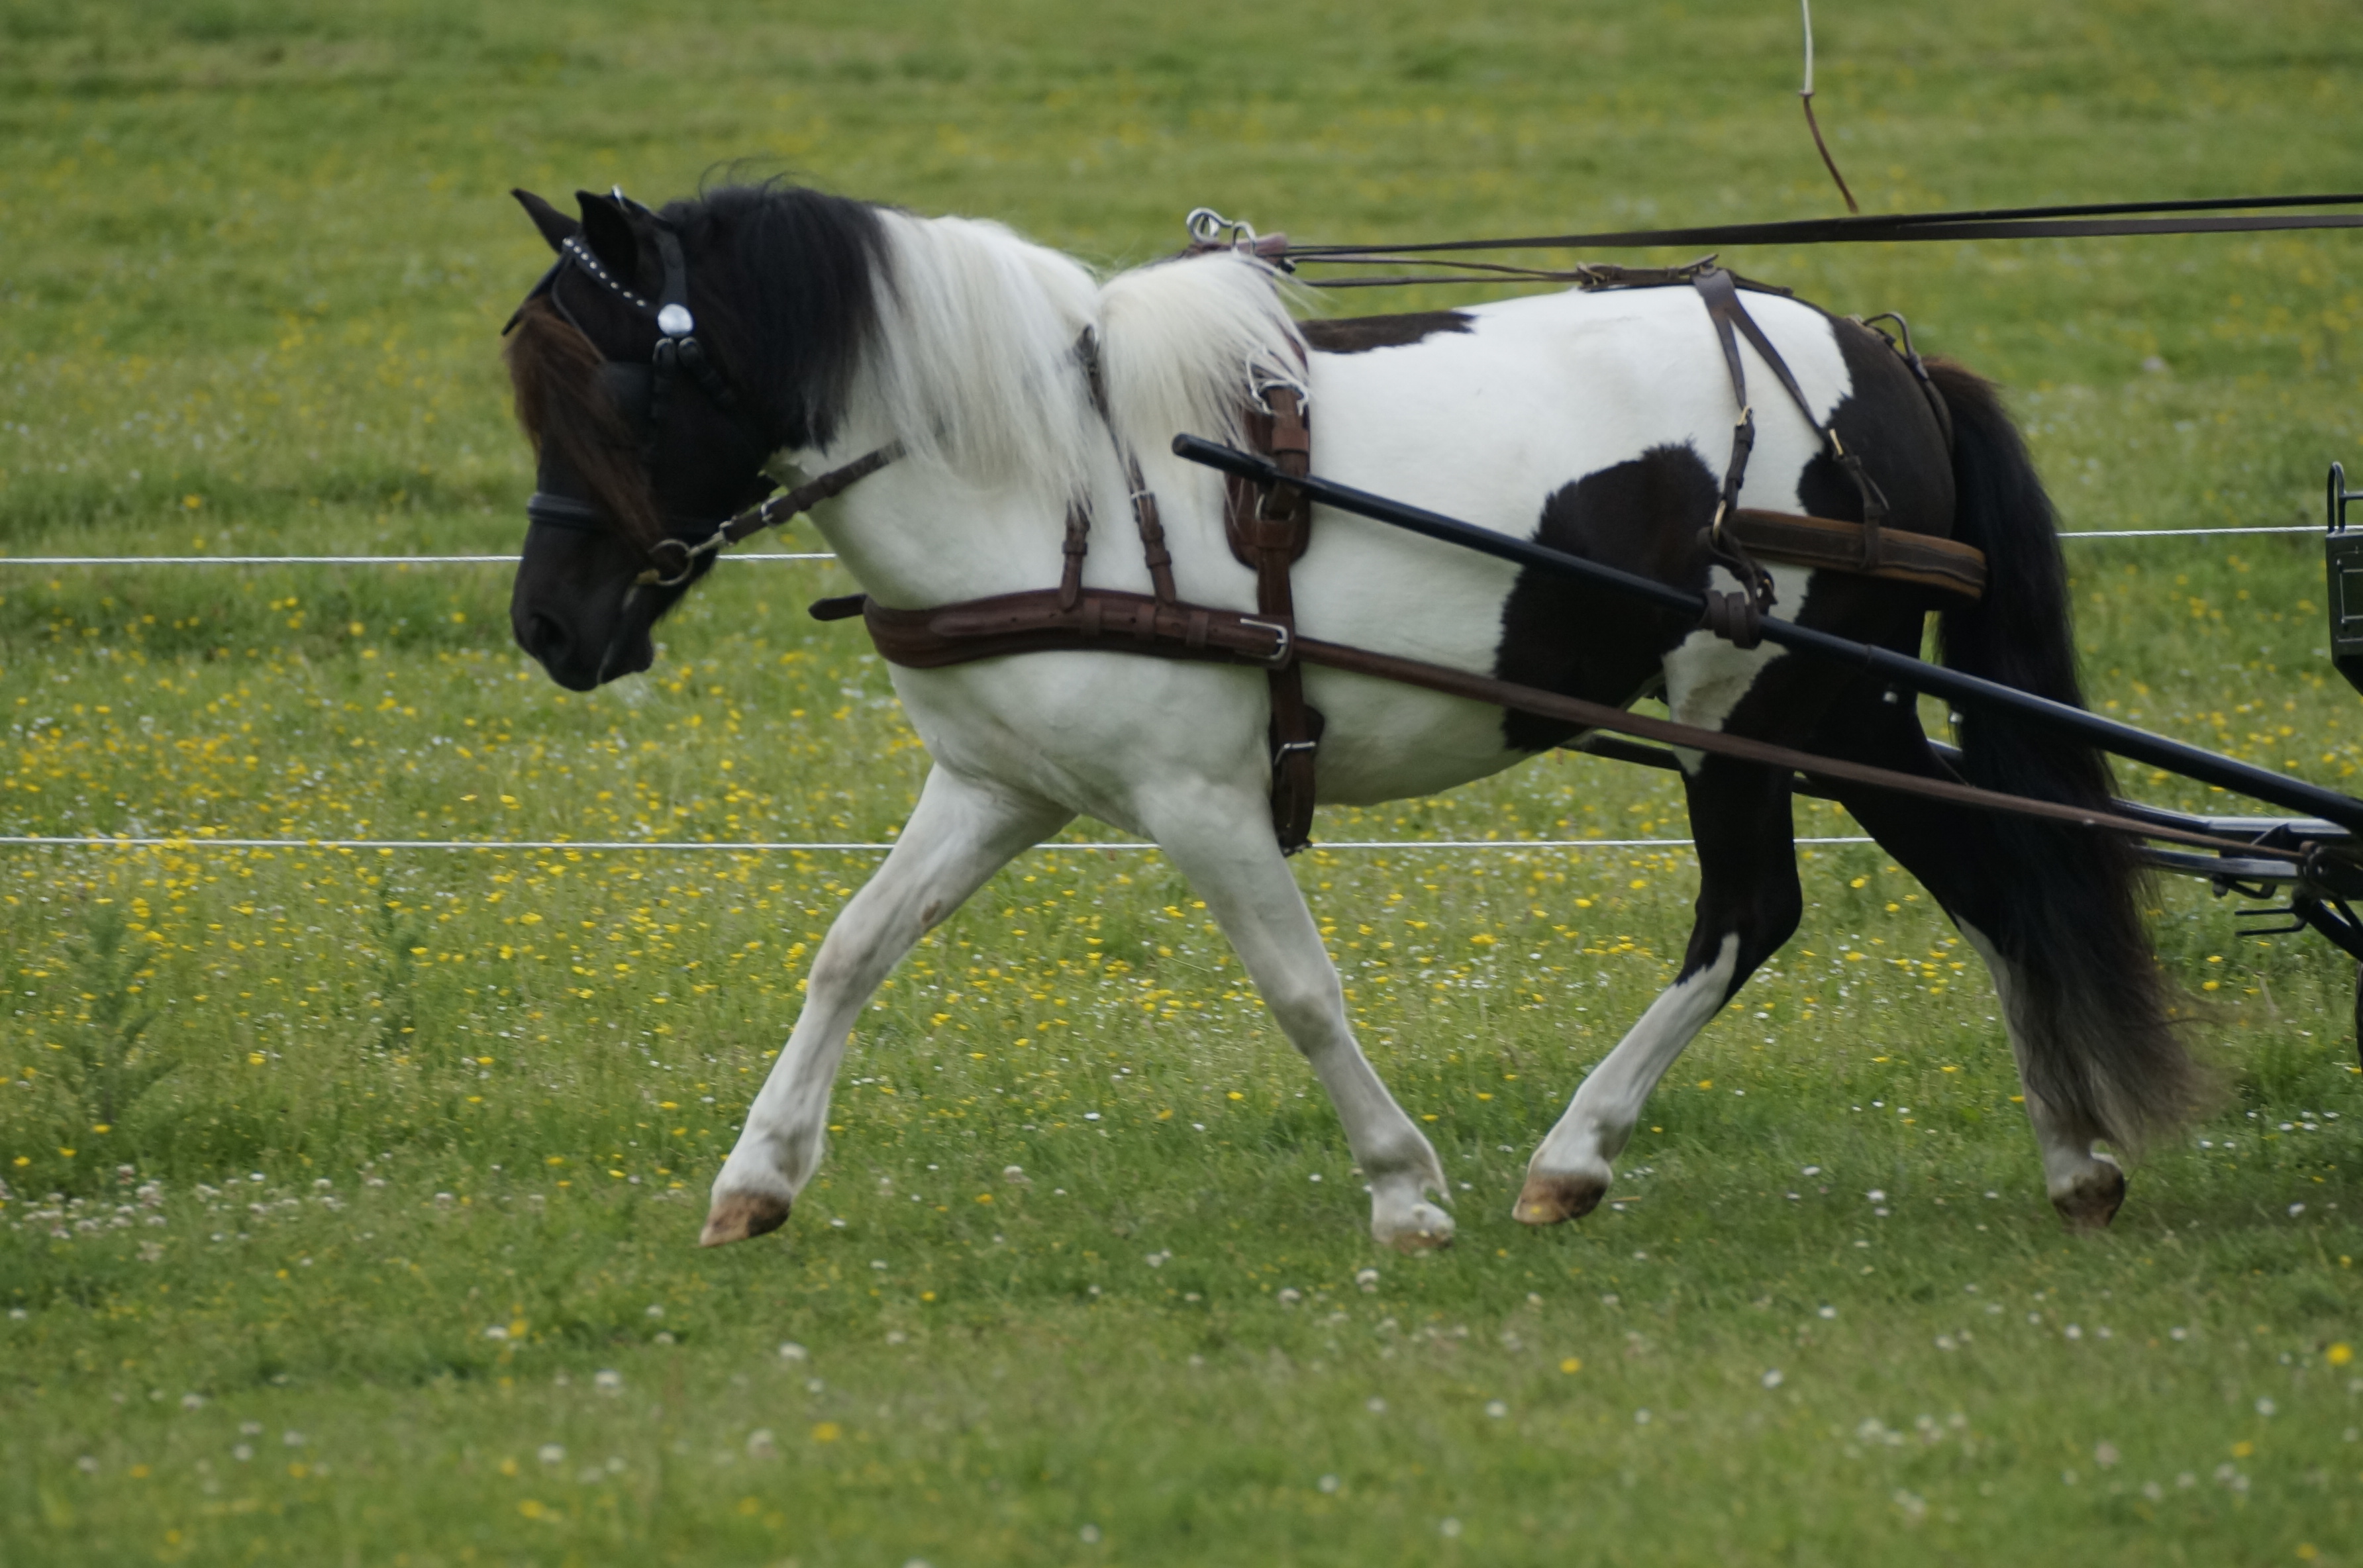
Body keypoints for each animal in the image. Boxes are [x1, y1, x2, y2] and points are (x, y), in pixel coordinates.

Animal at [508, 184, 2202, 1256]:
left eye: (609, 393)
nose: (544, 627)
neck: (1059, 483)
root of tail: (1880, 357)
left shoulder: (1203, 802)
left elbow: (1300, 993)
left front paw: (1402, 1189)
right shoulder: (997, 788)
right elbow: (851, 949)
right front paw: (757, 1178)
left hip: (1762, 702)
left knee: (1756, 908)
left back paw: (1573, 1154)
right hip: (1844, 711)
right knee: (1993, 882)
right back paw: (2070, 1156)